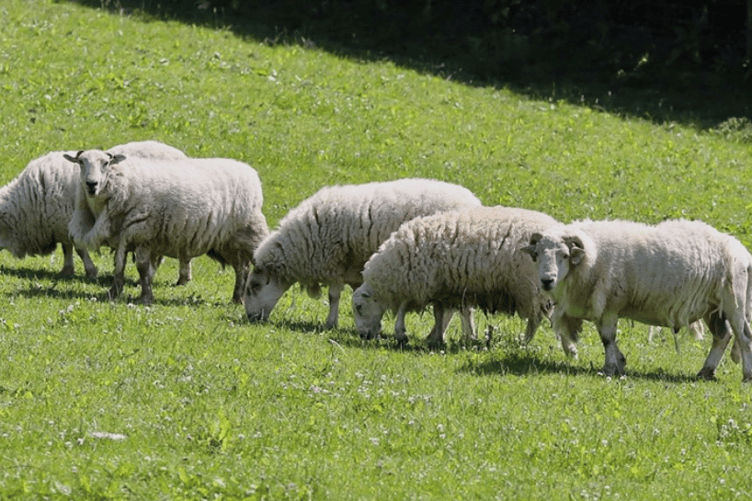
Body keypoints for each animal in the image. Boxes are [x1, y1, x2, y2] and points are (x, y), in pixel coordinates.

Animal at [0, 141, 186, 281]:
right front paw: (67, 270)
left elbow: (79, 249)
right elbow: (67, 248)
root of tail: (182, 155)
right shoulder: (62, 225)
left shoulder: (72, 223)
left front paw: (90, 272)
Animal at [65, 150, 268, 304]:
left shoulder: (142, 233)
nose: (91, 185)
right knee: (242, 268)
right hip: (226, 241)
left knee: (250, 264)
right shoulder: (123, 235)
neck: (121, 186)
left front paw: (146, 297)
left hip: (250, 231)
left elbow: (142, 267)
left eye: (106, 163)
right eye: (81, 162)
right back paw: (237, 299)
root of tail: (251, 173)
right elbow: (119, 265)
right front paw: (113, 292)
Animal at [244, 178, 482, 330]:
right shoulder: (353, 269)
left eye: (254, 286)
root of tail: (474, 202)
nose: (250, 318)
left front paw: (331, 323)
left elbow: (333, 296)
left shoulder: (334, 261)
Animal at [351, 206, 559, 348]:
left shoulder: (415, 284)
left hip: (531, 288)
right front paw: (439, 338)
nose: (363, 336)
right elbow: (442, 313)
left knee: (535, 318)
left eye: (359, 307)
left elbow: (403, 309)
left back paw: (524, 342)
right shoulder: (442, 289)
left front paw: (401, 333)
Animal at [522, 218, 752, 381]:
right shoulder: (601, 305)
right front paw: (619, 362)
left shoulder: (611, 303)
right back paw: (706, 371)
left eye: (564, 255)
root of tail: (743, 253)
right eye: (537, 253)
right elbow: (606, 338)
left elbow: (607, 338)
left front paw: (609, 368)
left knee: (743, 337)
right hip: (713, 307)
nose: (547, 281)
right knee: (723, 336)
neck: (591, 257)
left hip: (734, 301)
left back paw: (747, 376)